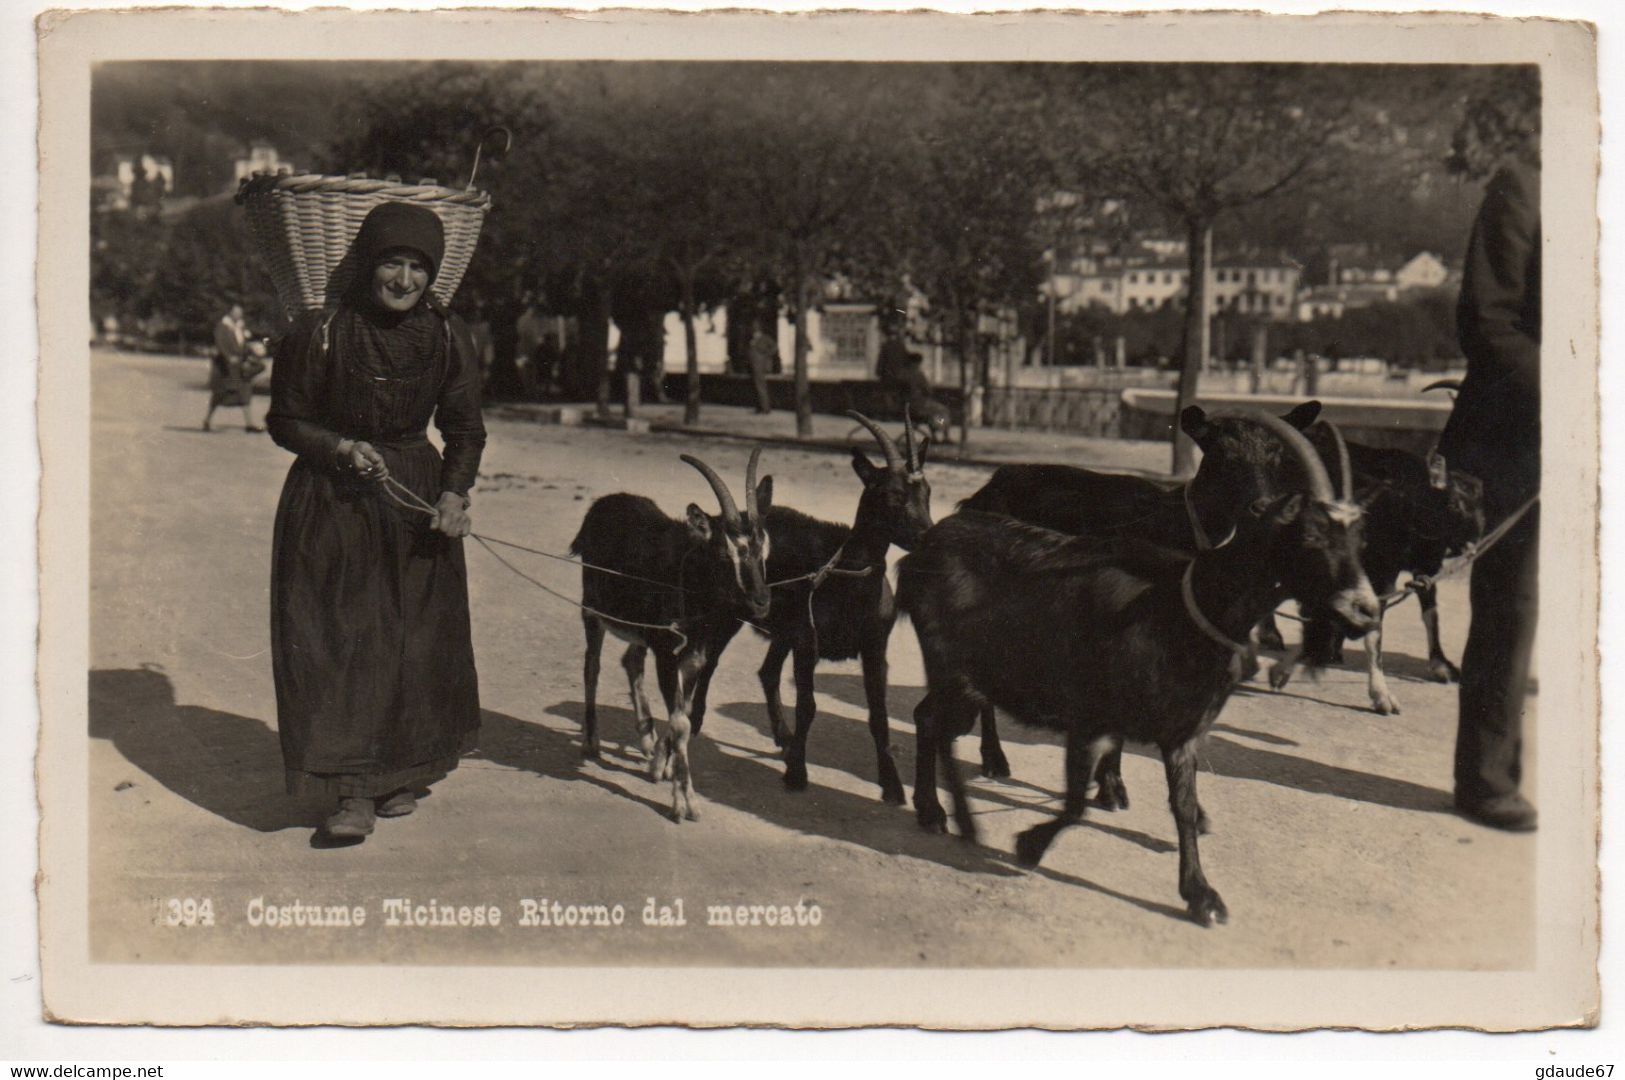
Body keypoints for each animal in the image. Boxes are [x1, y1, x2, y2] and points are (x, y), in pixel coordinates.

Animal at [572, 451, 773, 821]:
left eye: (763, 550)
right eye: (724, 553)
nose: (761, 601)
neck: (685, 577)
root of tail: (606, 503)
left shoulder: (694, 656)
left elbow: (686, 712)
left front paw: (659, 766)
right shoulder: (666, 653)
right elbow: (680, 723)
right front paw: (685, 802)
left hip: (638, 631)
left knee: (631, 660)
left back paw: (646, 737)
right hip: (591, 610)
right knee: (591, 666)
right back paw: (591, 742)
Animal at [955, 399, 1326, 789]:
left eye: (1280, 457)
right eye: (1223, 456)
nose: (1263, 508)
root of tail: (982, 491)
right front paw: (1111, 783)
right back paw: (994, 758)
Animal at [1261, 425, 1488, 711]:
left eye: (1482, 507)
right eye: (1454, 504)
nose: (1473, 546)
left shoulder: (1424, 568)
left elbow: (1430, 614)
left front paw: (1440, 665)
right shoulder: (1374, 573)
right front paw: (1382, 694)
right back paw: (1271, 635)